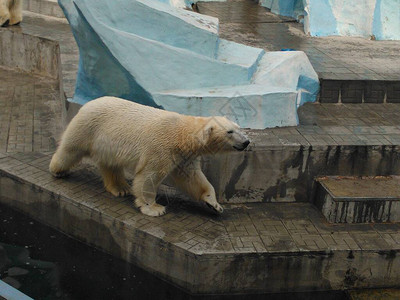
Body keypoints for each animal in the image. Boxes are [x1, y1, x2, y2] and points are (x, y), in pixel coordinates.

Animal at [49, 97, 250, 217]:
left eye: (238, 127)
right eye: (230, 132)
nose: (247, 141)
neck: (182, 134)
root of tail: (89, 102)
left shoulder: (184, 157)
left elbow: (193, 178)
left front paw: (214, 204)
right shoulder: (161, 148)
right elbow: (149, 176)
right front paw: (154, 208)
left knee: (110, 164)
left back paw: (120, 188)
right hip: (88, 127)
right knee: (70, 149)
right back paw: (57, 169)